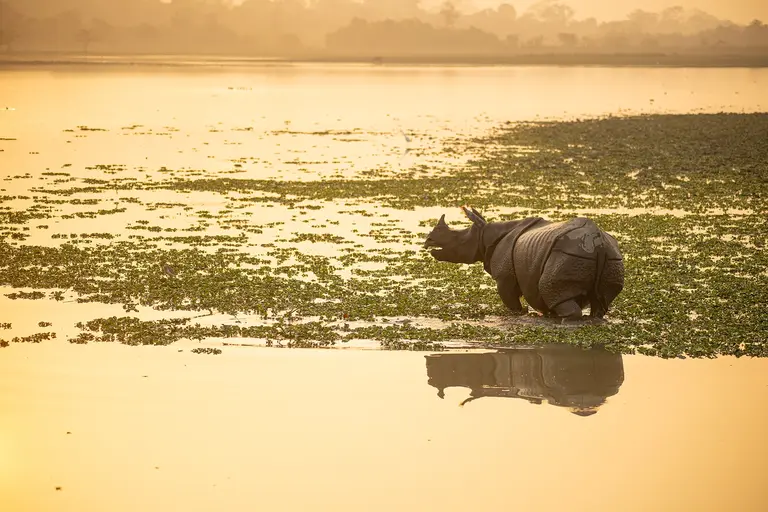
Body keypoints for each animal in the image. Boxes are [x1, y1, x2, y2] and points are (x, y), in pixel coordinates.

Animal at [423, 207, 624, 320]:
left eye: (458, 238)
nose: (428, 240)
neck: (484, 235)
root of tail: (599, 243)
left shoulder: (504, 277)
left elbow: (511, 301)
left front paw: (520, 314)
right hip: (612, 258)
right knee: (600, 302)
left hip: (568, 253)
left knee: (552, 289)